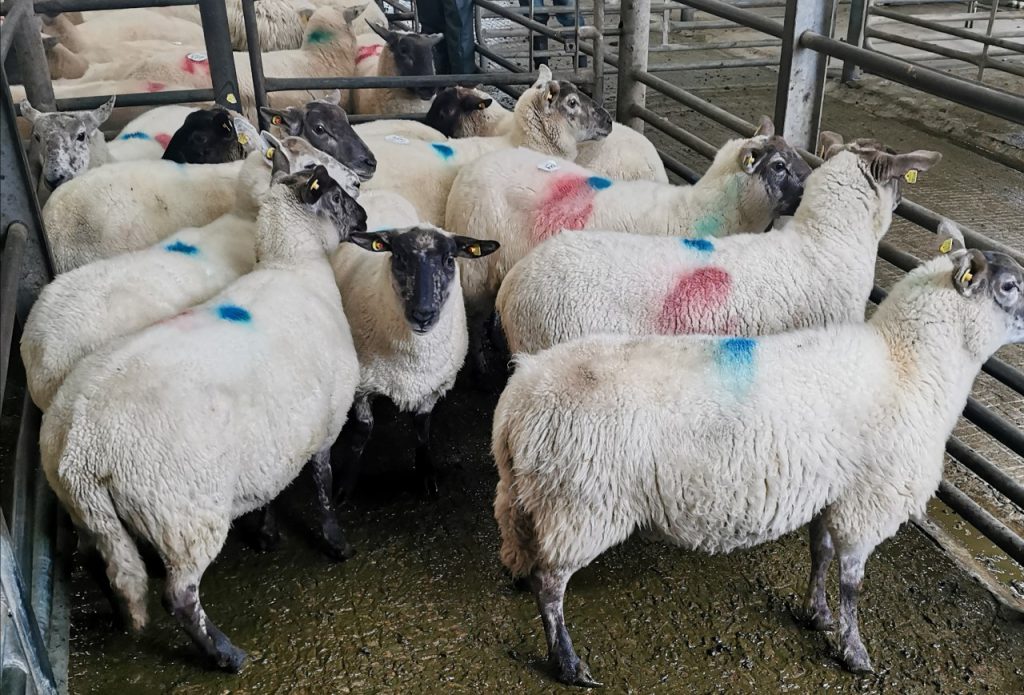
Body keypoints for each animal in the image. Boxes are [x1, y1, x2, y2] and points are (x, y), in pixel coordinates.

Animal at [39, 165, 366, 671]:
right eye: (335, 195)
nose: (366, 219)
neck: (294, 266)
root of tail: (79, 448)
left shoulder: (273, 440)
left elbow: (269, 490)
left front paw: (266, 531)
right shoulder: (326, 422)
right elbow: (323, 484)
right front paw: (336, 543)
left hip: (91, 512)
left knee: (100, 561)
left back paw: (119, 614)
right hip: (183, 516)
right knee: (178, 596)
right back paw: (225, 655)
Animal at [331, 226, 499, 496]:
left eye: (449, 259)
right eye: (399, 257)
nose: (423, 315)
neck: (411, 361)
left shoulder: (434, 385)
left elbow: (422, 428)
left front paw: (426, 472)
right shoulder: (362, 385)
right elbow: (363, 430)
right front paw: (346, 480)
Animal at [446, 117, 810, 371]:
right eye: (779, 165)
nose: (813, 182)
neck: (700, 210)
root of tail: (472, 169)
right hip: (477, 269)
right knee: (475, 318)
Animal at [491, 230, 1024, 686]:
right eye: (1010, 286)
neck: (907, 364)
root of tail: (520, 398)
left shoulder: (832, 489)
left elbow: (819, 554)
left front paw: (817, 614)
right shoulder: (867, 501)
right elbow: (852, 583)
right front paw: (854, 652)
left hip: (530, 494)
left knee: (522, 547)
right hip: (581, 505)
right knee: (550, 584)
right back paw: (568, 663)